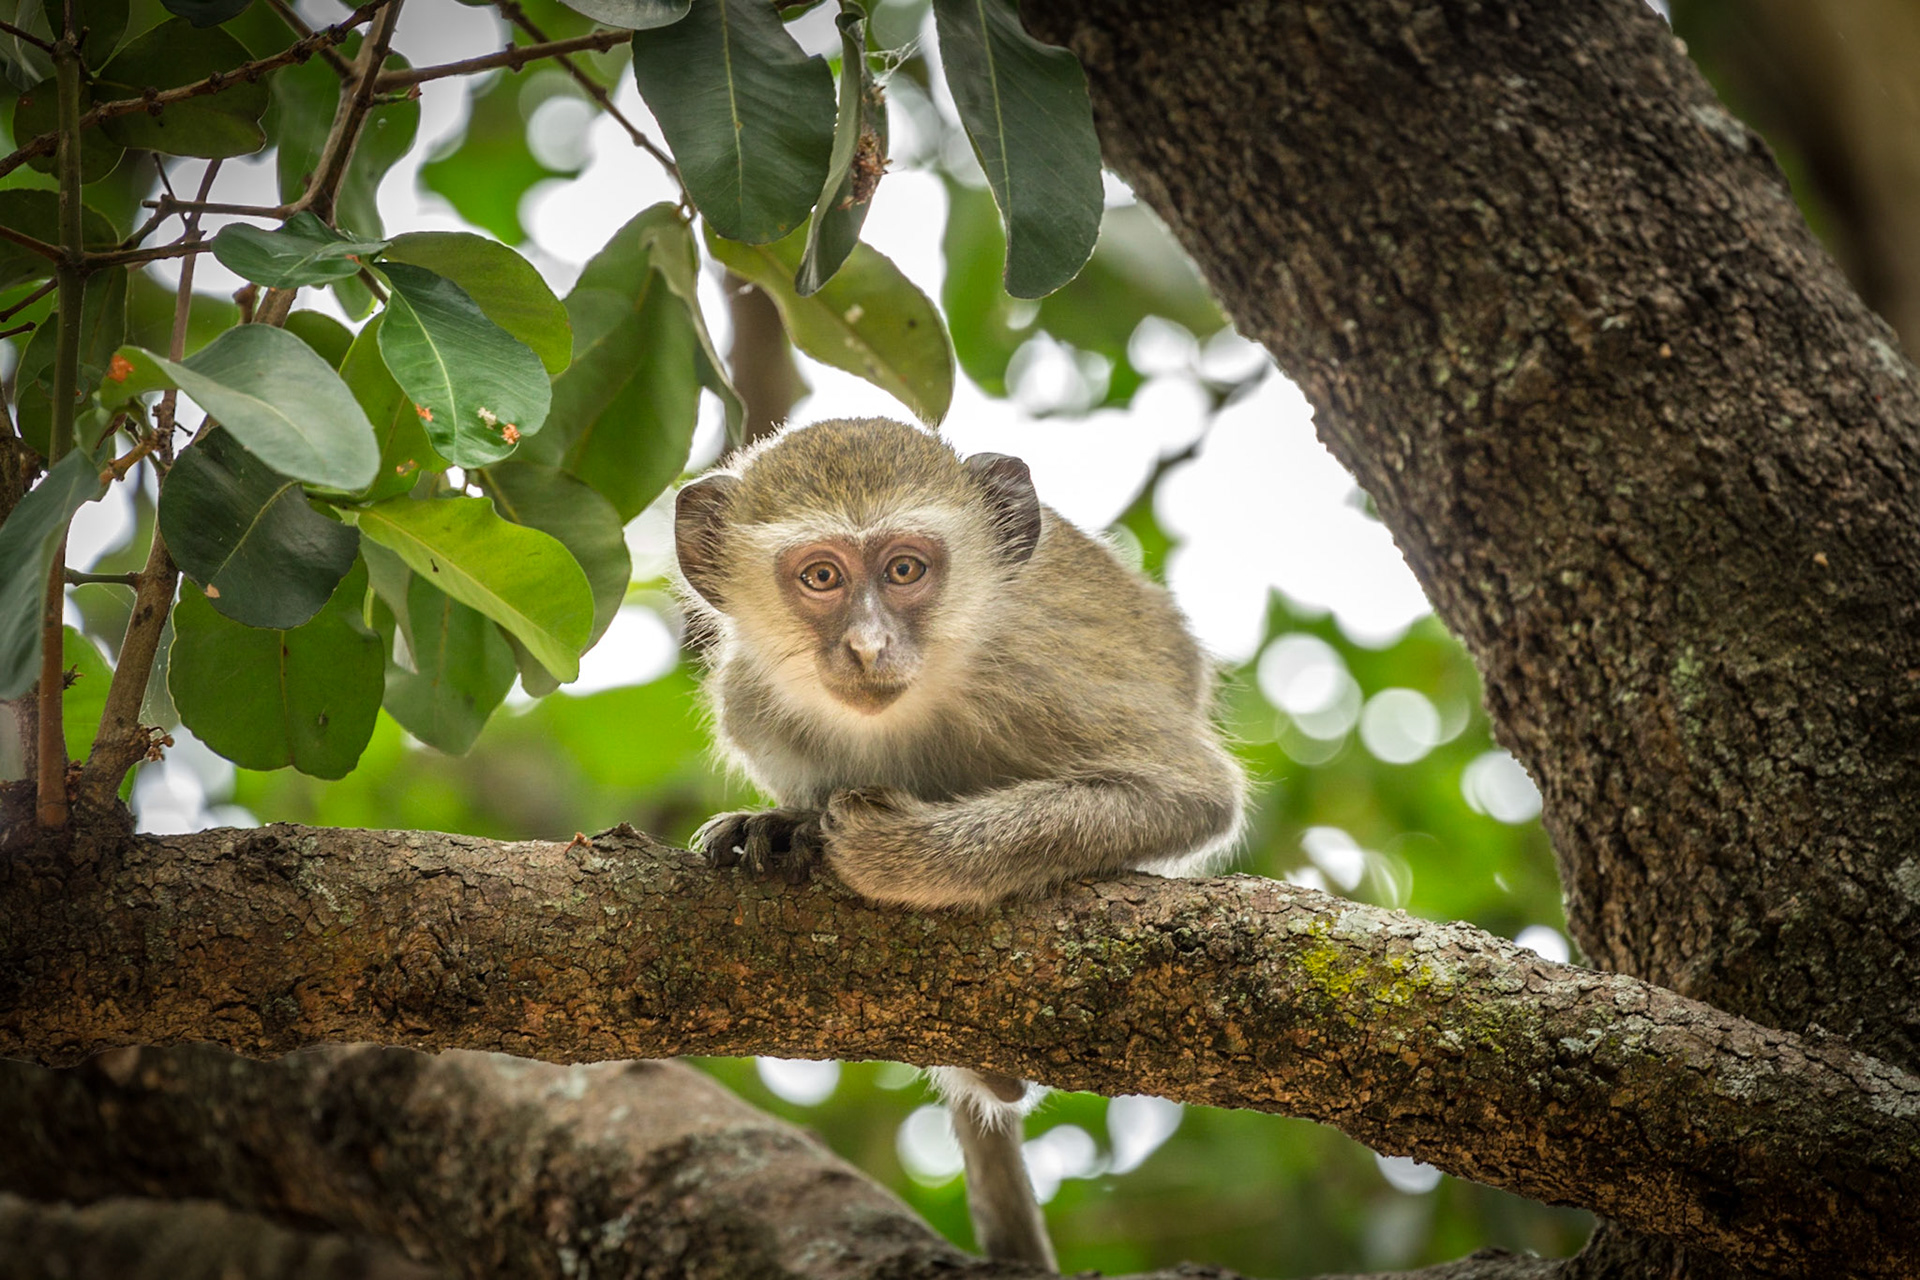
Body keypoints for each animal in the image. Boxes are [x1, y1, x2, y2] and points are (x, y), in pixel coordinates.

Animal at [674, 417, 1245, 1270]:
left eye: (905, 569)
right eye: (821, 577)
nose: (869, 646)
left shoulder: (1038, 682)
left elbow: (1192, 794)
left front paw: (892, 852)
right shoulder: (754, 704)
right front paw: (784, 822)